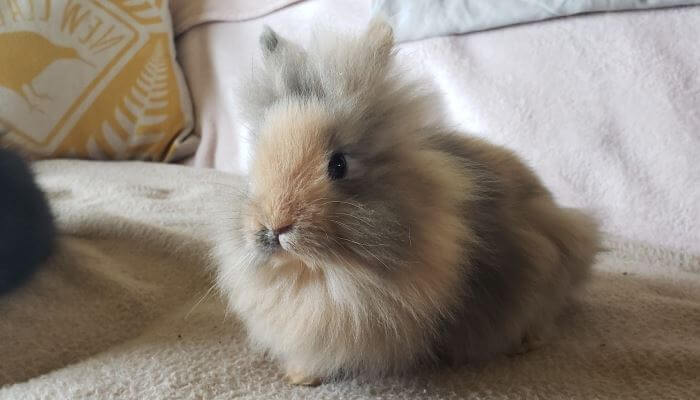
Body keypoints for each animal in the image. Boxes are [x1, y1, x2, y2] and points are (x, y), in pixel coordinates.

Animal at [215, 19, 600, 388]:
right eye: (256, 158)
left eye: (339, 165)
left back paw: (525, 343)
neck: (322, 275)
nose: (275, 226)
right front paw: (298, 376)